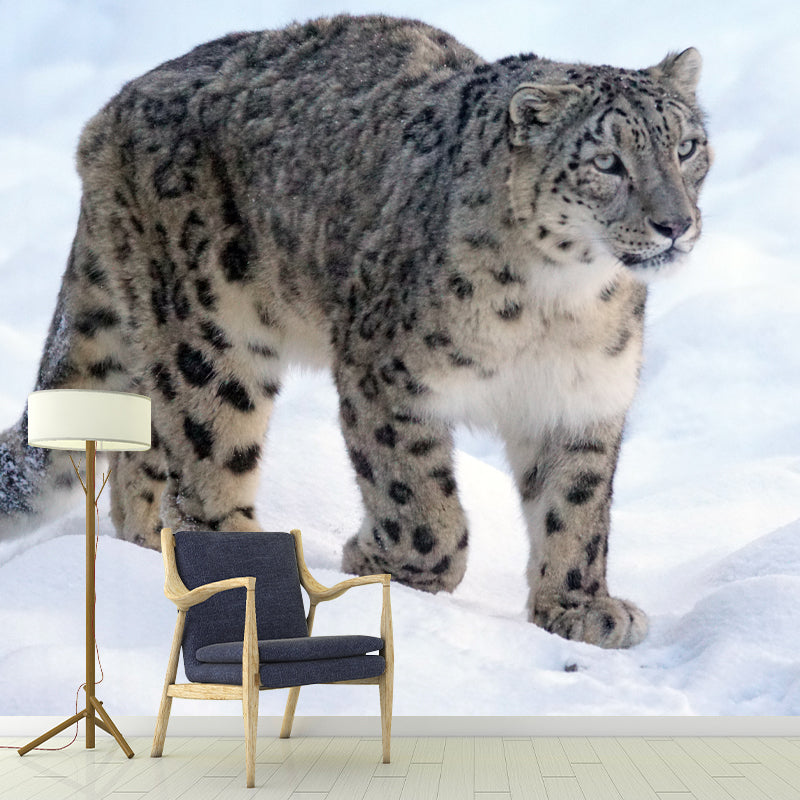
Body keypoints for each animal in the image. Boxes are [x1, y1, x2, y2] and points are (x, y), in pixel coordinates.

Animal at [0, 14, 711, 648]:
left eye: (687, 147)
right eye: (607, 161)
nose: (676, 223)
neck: (561, 306)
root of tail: (113, 109)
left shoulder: (582, 398)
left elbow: (577, 506)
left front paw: (579, 608)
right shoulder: (387, 376)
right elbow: (419, 501)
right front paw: (382, 563)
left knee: (141, 463)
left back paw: (150, 551)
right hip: (209, 337)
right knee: (207, 461)